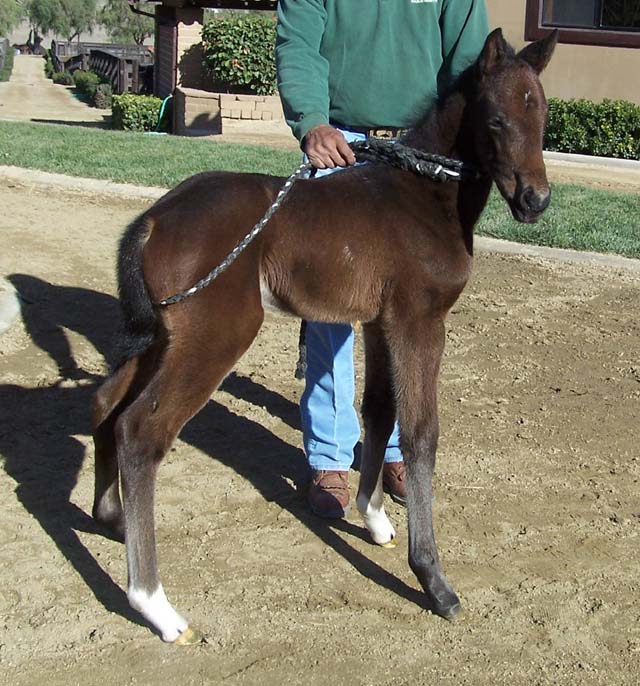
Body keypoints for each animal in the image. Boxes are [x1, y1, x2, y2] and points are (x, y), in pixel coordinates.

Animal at [91, 28, 558, 643]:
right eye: (497, 120)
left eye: (544, 115)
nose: (535, 200)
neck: (423, 194)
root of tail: (154, 217)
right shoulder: (420, 321)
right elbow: (421, 434)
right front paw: (433, 578)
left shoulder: (381, 322)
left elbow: (379, 410)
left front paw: (376, 520)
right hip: (216, 335)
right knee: (141, 432)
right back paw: (155, 606)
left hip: (162, 337)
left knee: (106, 405)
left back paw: (112, 519)